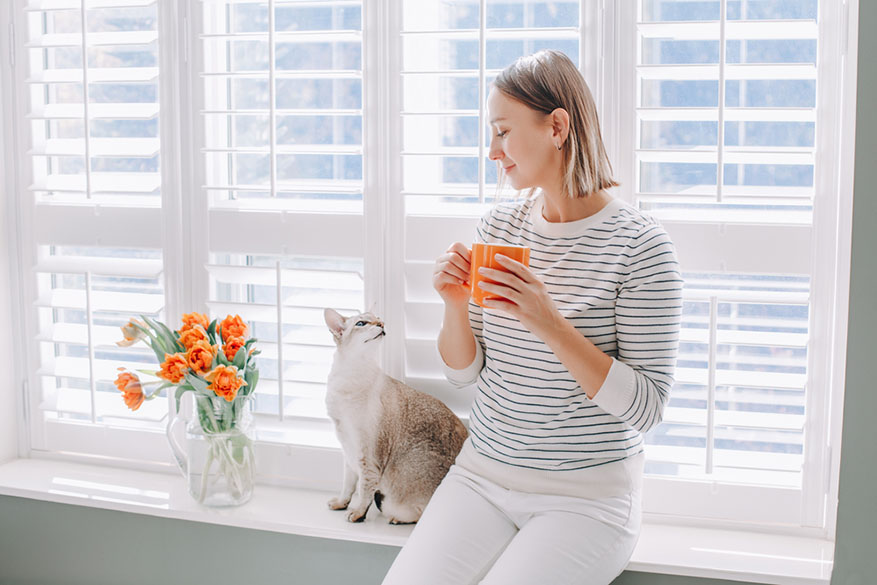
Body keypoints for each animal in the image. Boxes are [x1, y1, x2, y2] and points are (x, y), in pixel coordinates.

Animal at [326, 308, 468, 524]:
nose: (381, 324)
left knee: (413, 513)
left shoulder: (367, 457)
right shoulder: (348, 449)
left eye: (378, 320)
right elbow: (347, 487)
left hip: (398, 497)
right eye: (361, 323)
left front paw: (357, 513)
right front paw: (341, 504)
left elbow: (364, 490)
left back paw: (396, 519)